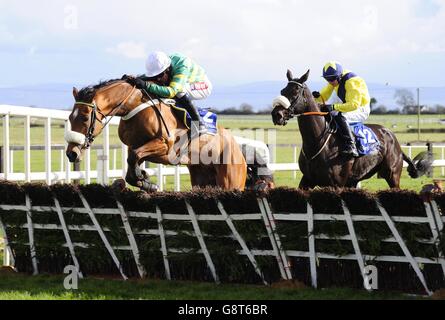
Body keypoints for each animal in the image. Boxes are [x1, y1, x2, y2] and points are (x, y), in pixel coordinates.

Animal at [64, 79, 248, 191]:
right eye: (70, 117)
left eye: (85, 117)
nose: (72, 153)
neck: (134, 107)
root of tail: (237, 147)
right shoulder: (135, 146)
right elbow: (132, 162)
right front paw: (144, 180)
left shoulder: (165, 148)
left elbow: (135, 156)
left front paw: (145, 180)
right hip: (201, 177)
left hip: (231, 180)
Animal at [268, 69, 432, 190]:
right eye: (282, 91)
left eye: (295, 92)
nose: (277, 114)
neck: (318, 141)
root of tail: (393, 138)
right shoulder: (307, 180)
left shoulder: (336, 184)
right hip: (354, 180)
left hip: (393, 175)